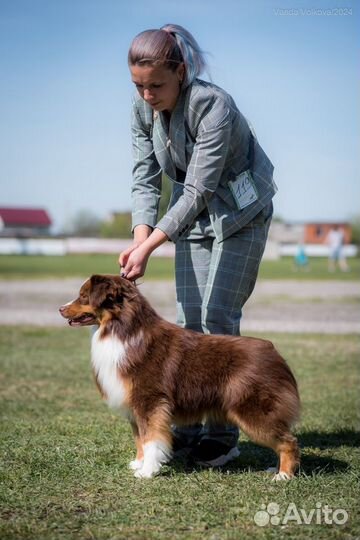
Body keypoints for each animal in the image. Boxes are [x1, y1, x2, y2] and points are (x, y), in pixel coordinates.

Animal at [59, 276, 300, 478]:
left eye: (83, 296)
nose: (60, 309)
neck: (121, 330)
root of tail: (273, 351)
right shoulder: (135, 408)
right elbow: (139, 439)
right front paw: (139, 464)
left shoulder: (150, 402)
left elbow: (150, 439)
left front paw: (147, 472)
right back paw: (277, 469)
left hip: (252, 410)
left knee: (289, 441)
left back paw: (283, 475)